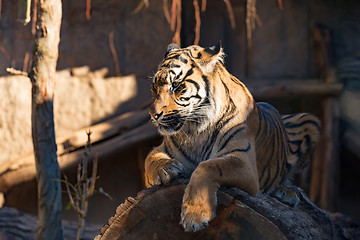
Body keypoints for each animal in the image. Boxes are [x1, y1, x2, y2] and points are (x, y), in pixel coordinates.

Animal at [143, 43, 320, 232]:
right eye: (154, 87)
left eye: (176, 85)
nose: (153, 115)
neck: (196, 130)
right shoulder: (163, 148)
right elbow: (149, 158)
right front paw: (166, 169)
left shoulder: (244, 162)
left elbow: (208, 166)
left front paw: (195, 215)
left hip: (311, 121)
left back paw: (287, 193)